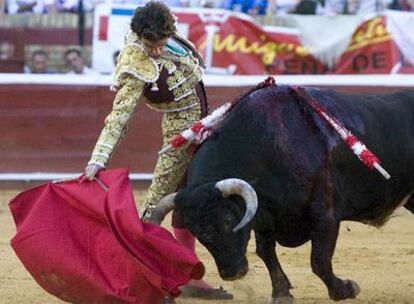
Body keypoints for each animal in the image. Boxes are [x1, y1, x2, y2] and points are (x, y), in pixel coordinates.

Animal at [152, 85, 414, 304]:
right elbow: (266, 252)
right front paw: (281, 292)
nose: (232, 273)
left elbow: (319, 260)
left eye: (227, 220)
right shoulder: (264, 217)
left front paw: (345, 289)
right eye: (196, 231)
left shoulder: (324, 214)